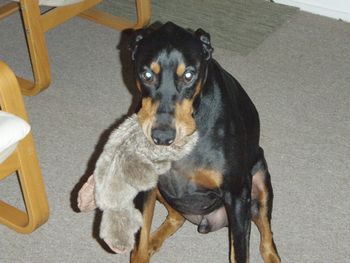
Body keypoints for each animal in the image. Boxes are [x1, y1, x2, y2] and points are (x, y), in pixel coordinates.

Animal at [128, 22, 278, 263]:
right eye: (147, 74)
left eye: (189, 75)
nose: (162, 137)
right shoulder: (147, 183)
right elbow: (139, 245)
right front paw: (143, 248)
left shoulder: (237, 194)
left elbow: (241, 253)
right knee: (176, 217)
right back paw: (153, 242)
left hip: (259, 185)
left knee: (266, 240)